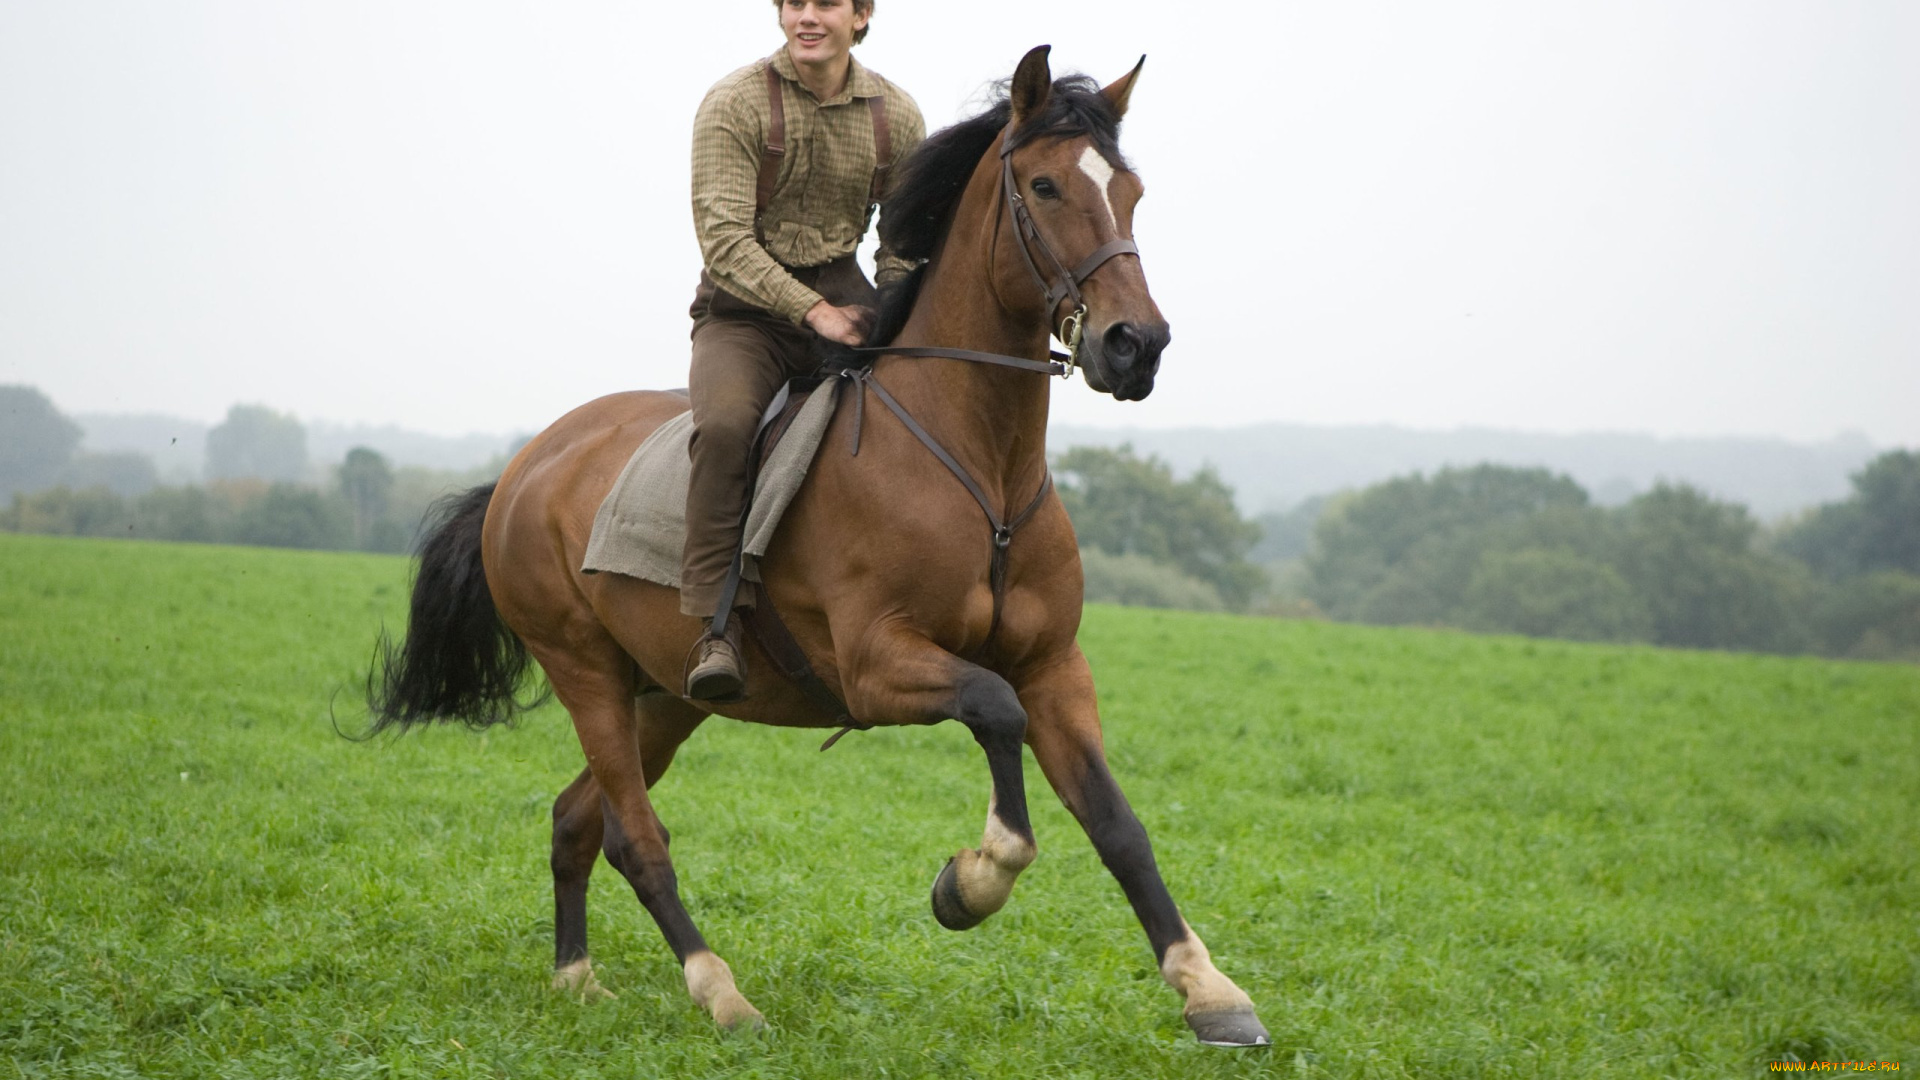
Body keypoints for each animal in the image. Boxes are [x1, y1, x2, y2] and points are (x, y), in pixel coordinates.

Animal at [367, 45, 1269, 1048]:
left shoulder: (1054, 665)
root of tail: (524, 467)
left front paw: (1211, 991)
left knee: (577, 820)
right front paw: (971, 881)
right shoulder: (880, 665)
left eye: (1132, 192)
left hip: (668, 694)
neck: (977, 467)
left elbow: (1117, 824)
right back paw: (721, 993)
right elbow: (996, 717)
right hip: (585, 673)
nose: (1135, 345)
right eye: (1043, 185)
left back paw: (577, 979)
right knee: (636, 838)